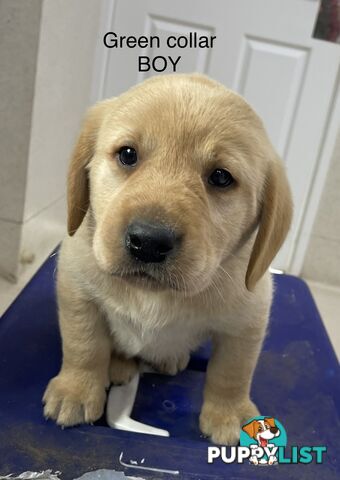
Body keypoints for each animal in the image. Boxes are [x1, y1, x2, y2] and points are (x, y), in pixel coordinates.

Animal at [42, 73, 292, 444]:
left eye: (221, 177)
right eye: (127, 154)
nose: (148, 242)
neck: (153, 295)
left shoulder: (248, 317)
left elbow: (233, 370)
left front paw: (231, 414)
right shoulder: (76, 288)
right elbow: (83, 344)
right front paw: (75, 389)